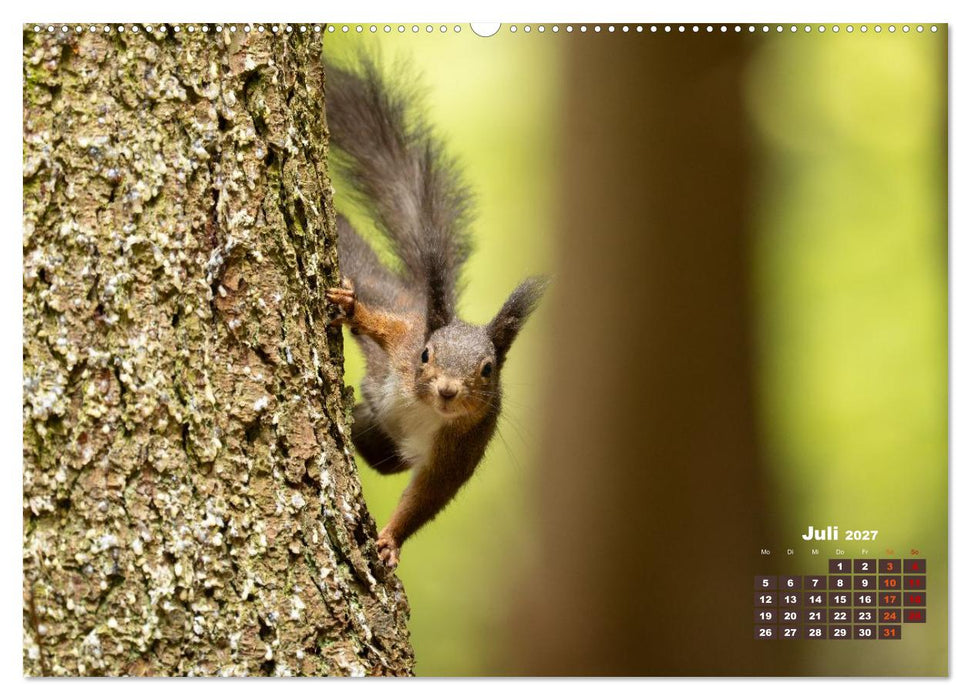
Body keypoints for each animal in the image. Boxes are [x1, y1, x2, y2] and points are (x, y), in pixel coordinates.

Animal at [323, 57, 547, 570]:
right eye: (427, 355)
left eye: (487, 370)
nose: (447, 390)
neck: (428, 407)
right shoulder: (406, 342)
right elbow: (384, 329)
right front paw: (354, 311)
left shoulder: (464, 445)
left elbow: (426, 497)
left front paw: (389, 541)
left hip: (388, 444)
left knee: (382, 453)